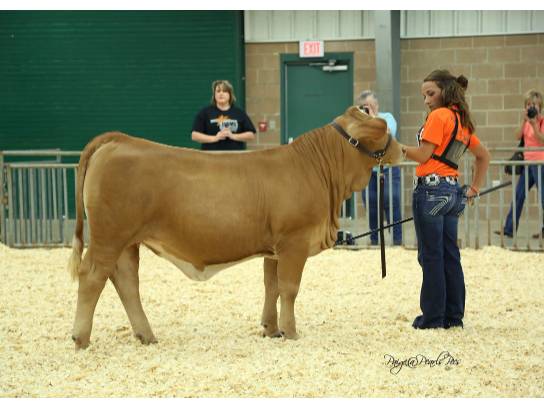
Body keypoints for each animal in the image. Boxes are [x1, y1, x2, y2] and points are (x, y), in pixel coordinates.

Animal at [67, 105, 402, 349]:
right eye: (384, 129)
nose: (403, 150)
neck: (318, 169)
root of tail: (120, 139)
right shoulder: (294, 242)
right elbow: (289, 289)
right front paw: (291, 332)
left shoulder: (274, 249)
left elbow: (272, 286)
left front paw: (271, 329)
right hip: (109, 237)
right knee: (93, 276)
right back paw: (81, 338)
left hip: (126, 242)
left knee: (126, 281)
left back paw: (145, 335)